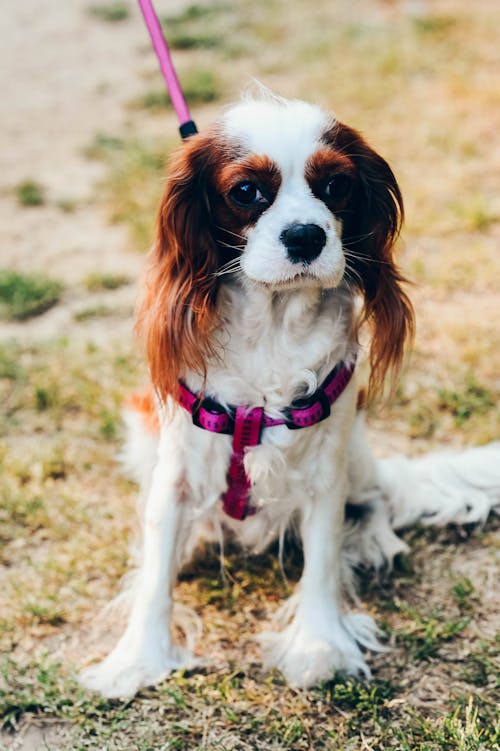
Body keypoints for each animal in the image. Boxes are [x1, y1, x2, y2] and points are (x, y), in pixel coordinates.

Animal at [80, 92, 498, 700]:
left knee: (374, 499)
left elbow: (322, 555)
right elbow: (156, 571)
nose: (306, 236)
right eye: (246, 191)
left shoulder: (327, 464)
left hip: (358, 452)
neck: (272, 326)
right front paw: (136, 660)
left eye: (337, 185)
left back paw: (372, 542)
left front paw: (320, 647)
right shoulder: (176, 469)